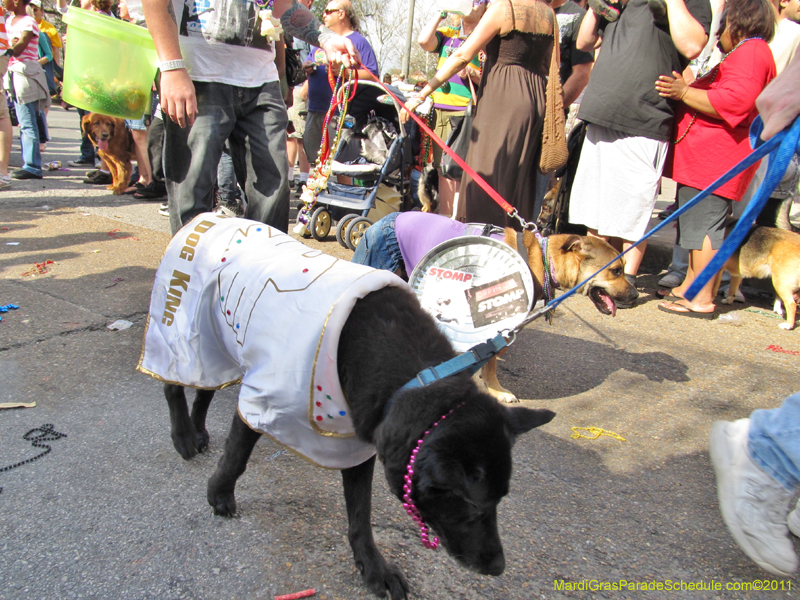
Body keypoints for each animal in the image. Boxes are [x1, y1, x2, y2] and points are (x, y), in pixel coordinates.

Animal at [166, 284, 552, 596]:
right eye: (472, 505)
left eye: (501, 500)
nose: (498, 568)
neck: (418, 378)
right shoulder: (261, 400)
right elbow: (237, 456)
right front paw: (219, 493)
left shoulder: (356, 445)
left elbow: (360, 516)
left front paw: (373, 569)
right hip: (191, 331)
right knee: (176, 382)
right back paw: (184, 435)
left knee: (204, 385)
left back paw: (198, 431)